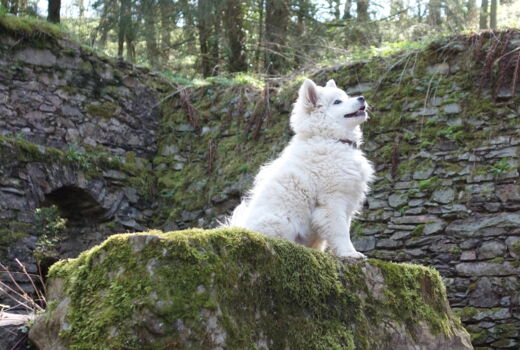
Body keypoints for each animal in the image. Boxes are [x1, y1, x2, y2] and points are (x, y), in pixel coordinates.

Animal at [229, 78, 374, 258]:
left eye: (347, 96)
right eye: (337, 102)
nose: (362, 98)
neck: (330, 138)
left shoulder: (346, 202)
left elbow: (343, 228)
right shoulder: (332, 201)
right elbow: (341, 232)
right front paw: (350, 253)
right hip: (282, 221)